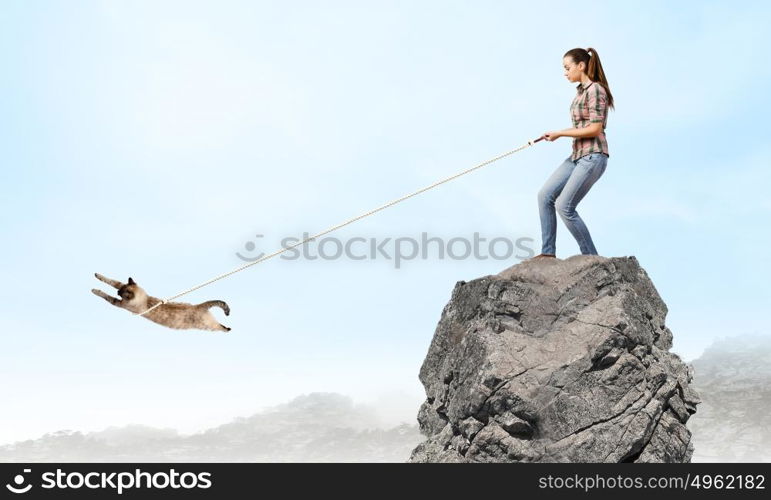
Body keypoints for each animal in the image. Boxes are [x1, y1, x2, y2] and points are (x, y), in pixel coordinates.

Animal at [92, 274, 231, 332]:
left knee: (219, 327)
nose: (117, 292)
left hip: (207, 326)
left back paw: (227, 329)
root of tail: (199, 305)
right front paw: (97, 275)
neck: (144, 299)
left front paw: (94, 290)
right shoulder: (119, 285)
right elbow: (111, 280)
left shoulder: (119, 303)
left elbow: (105, 295)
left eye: (120, 294)